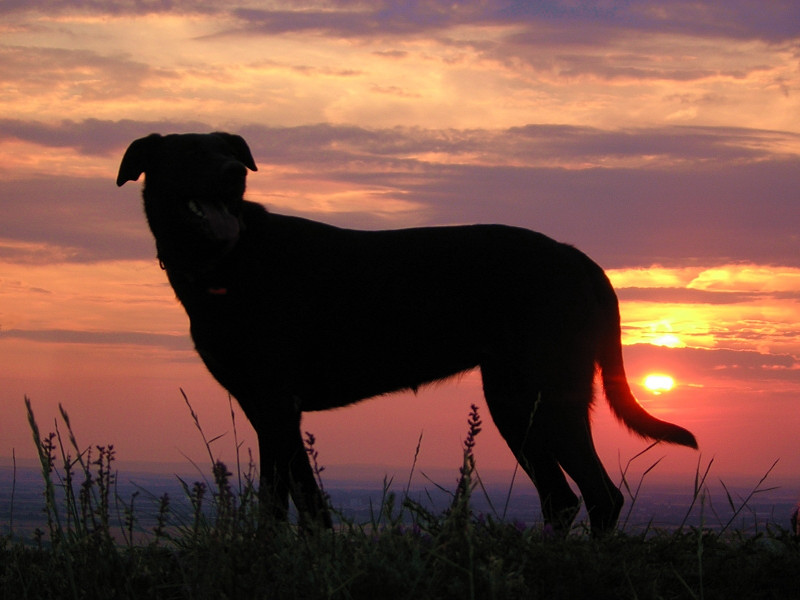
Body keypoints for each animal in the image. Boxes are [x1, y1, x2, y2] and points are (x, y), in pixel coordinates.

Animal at [115, 132, 696, 536]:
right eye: (192, 152)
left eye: (227, 150)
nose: (236, 172)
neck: (227, 262)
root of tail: (583, 262)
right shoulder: (264, 410)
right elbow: (277, 503)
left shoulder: (280, 406)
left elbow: (306, 503)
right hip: (517, 404)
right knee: (564, 498)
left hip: (542, 396)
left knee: (599, 495)